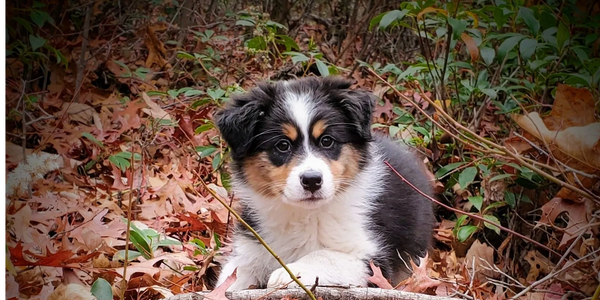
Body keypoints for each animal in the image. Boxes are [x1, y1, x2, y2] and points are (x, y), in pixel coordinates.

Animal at [213, 76, 434, 290]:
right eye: (282, 145)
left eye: (327, 141)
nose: (312, 181)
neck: (303, 215)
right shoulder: (251, 246)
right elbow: (230, 278)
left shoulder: (371, 257)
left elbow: (325, 256)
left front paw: (286, 273)